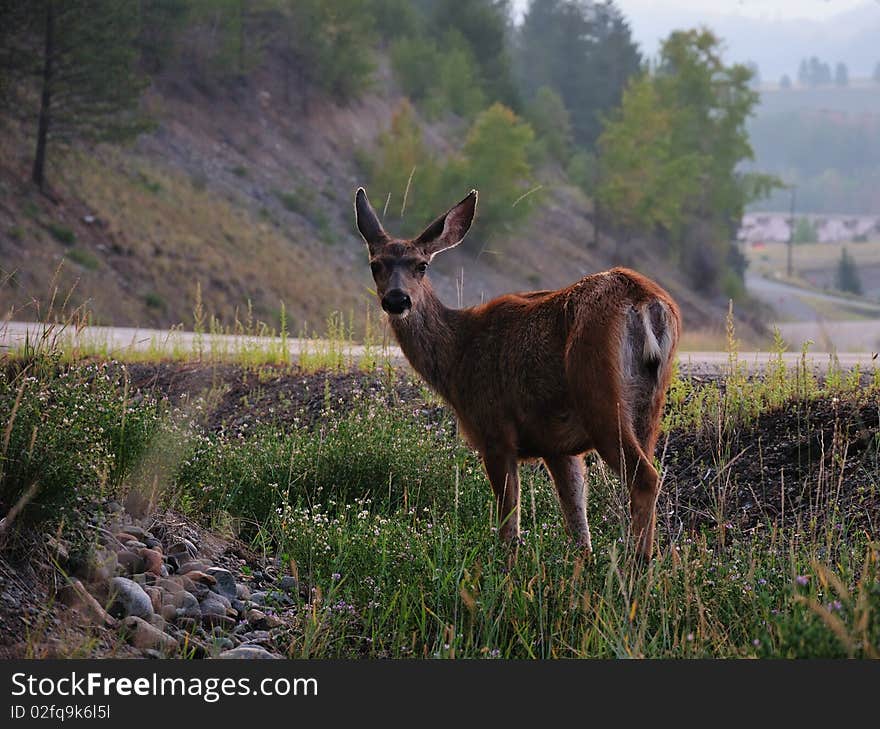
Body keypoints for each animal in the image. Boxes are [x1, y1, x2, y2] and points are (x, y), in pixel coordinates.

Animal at [354, 186, 684, 556]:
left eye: (421, 265)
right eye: (375, 265)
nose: (397, 300)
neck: (458, 355)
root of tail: (645, 301)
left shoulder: (495, 430)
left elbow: (509, 528)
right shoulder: (556, 446)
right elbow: (578, 528)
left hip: (598, 392)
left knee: (646, 478)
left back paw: (637, 564)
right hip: (649, 406)